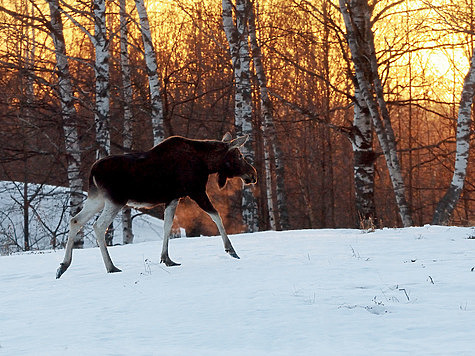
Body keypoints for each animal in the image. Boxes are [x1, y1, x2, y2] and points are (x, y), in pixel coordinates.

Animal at [56, 133, 258, 278]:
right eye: (239, 155)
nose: (253, 174)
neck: (207, 163)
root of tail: (92, 171)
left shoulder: (173, 198)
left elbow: (168, 226)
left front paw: (167, 258)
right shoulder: (195, 191)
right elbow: (216, 216)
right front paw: (231, 250)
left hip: (97, 198)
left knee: (75, 220)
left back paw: (63, 266)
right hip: (115, 200)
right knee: (98, 226)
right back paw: (111, 267)